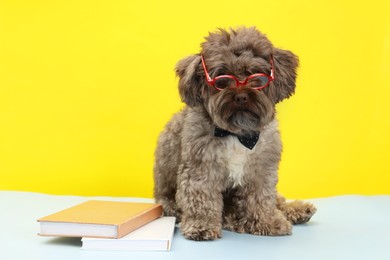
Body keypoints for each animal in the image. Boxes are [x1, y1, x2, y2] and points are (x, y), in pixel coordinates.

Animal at [154, 26, 316, 240]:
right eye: (222, 80)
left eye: (256, 77)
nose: (240, 96)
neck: (237, 134)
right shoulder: (201, 169)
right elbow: (201, 199)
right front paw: (202, 225)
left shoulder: (261, 172)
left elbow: (262, 199)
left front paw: (267, 222)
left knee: (277, 201)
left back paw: (297, 210)